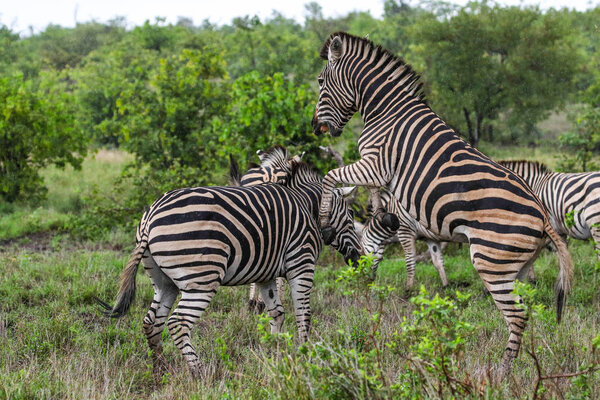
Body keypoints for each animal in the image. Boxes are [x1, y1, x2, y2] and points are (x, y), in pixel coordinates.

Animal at [95, 159, 358, 376]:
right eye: (352, 217)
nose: (357, 259)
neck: (309, 208)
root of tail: (150, 218)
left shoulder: (265, 273)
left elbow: (277, 312)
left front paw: (274, 352)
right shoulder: (301, 263)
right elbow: (304, 314)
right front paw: (305, 354)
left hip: (164, 281)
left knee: (152, 321)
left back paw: (160, 369)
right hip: (201, 279)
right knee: (178, 323)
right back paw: (200, 373)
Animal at [312, 32, 576, 378]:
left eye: (319, 81)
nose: (315, 128)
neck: (385, 110)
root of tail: (542, 214)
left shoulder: (376, 165)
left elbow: (331, 177)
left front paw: (325, 222)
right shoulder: (378, 173)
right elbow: (367, 198)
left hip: (491, 260)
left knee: (516, 315)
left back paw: (502, 372)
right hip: (514, 266)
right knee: (524, 309)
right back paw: (514, 365)